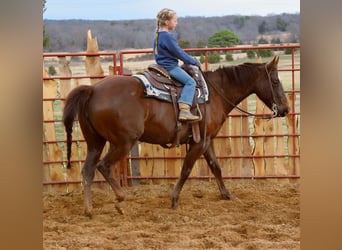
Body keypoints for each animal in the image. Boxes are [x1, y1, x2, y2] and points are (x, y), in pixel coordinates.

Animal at [63, 55, 288, 216]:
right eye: (276, 81)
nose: (285, 109)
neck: (215, 93)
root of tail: (92, 90)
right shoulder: (199, 143)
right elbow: (186, 170)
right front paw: (174, 200)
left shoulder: (206, 140)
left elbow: (216, 167)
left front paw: (227, 195)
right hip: (123, 142)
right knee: (104, 166)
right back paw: (120, 200)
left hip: (95, 142)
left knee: (87, 171)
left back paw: (89, 210)